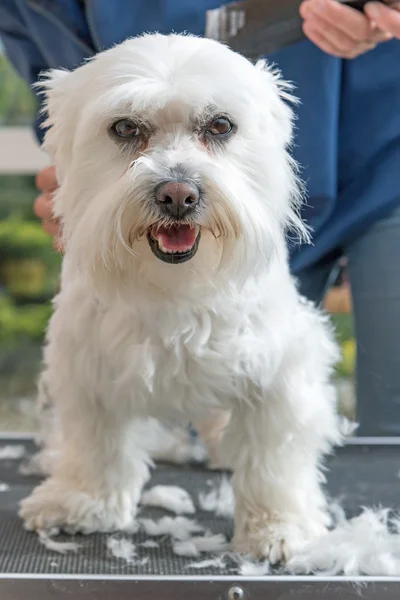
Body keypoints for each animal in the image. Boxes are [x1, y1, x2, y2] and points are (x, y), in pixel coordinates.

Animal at [20, 34, 342, 564]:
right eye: (125, 127)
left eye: (220, 125)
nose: (177, 194)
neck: (176, 285)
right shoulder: (87, 364)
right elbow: (96, 442)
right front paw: (85, 501)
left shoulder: (279, 371)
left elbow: (274, 457)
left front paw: (279, 527)